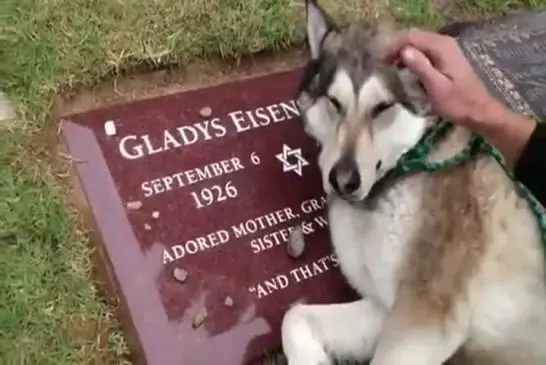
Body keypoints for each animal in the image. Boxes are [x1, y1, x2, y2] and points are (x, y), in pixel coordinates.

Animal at [278, 1, 544, 362]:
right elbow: (293, 315)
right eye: (334, 103)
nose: (343, 180)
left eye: (382, 107)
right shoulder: (383, 308)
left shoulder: (422, 318)